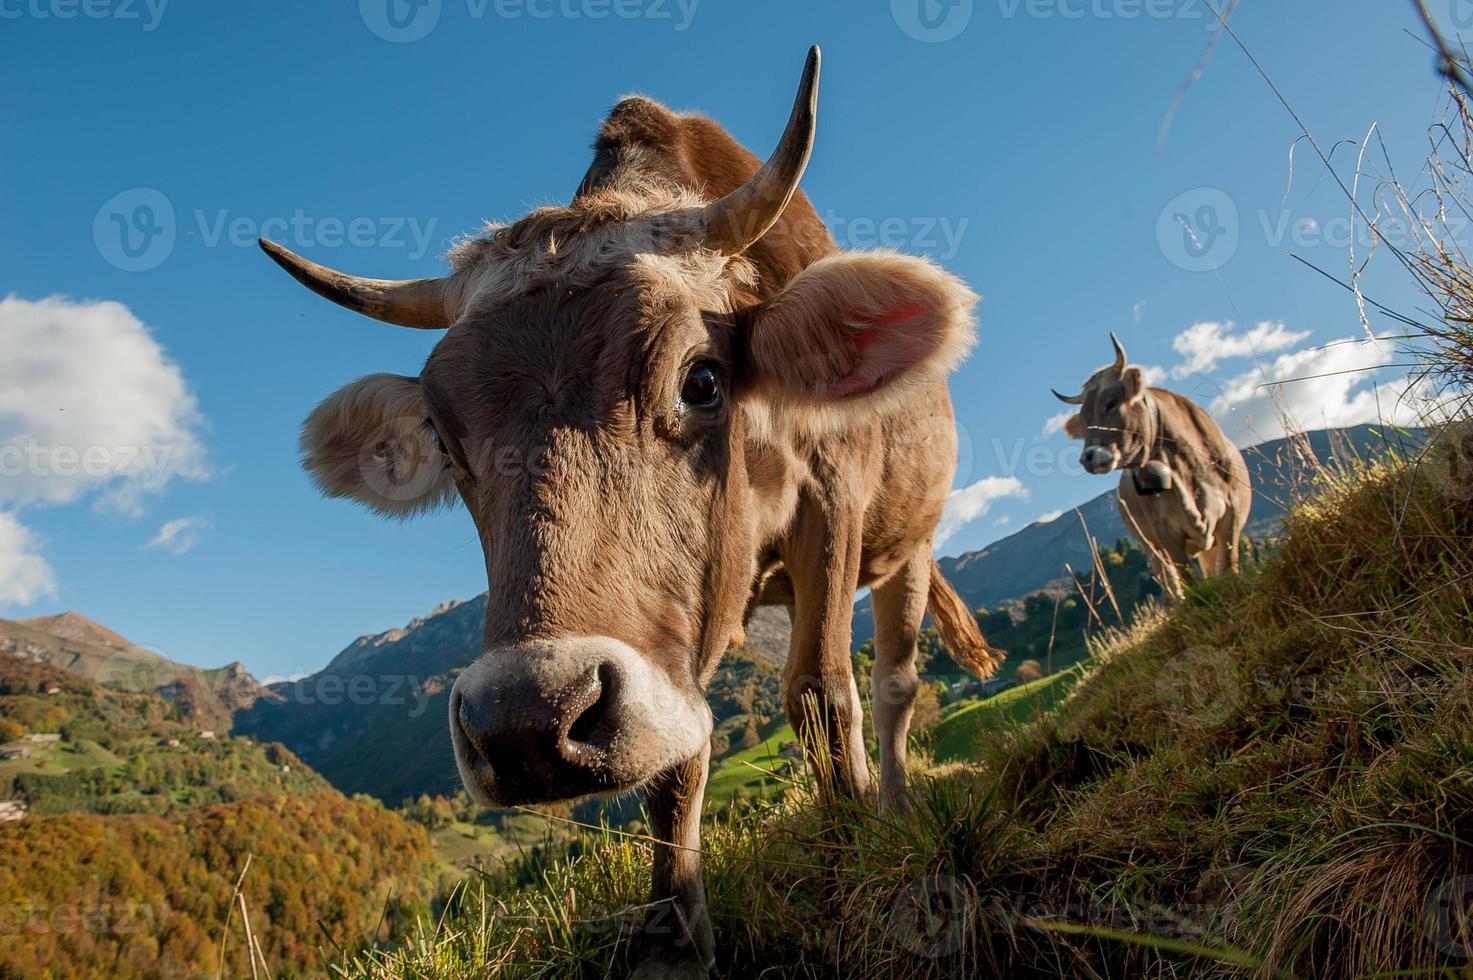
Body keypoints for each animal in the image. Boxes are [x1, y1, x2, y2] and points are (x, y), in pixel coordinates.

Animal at [262, 49, 1001, 972]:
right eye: (441, 433)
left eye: (702, 378)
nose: (525, 722)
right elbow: (680, 755)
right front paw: (670, 939)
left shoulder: (833, 500)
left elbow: (820, 693)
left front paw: (849, 847)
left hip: (910, 546)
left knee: (894, 680)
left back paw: (895, 807)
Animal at [1054, 334, 1249, 595]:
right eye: (1084, 421)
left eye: (1111, 403)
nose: (1089, 457)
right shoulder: (1164, 534)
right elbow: (1188, 583)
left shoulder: (1232, 517)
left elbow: (1229, 570)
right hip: (1152, 550)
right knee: (1171, 586)